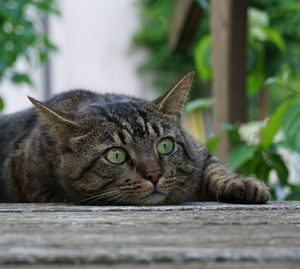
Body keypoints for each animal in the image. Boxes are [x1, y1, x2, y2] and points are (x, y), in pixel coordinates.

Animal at [0, 71, 270, 203]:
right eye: (115, 155)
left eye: (164, 145)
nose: (155, 175)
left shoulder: (200, 155)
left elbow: (216, 169)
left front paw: (244, 184)